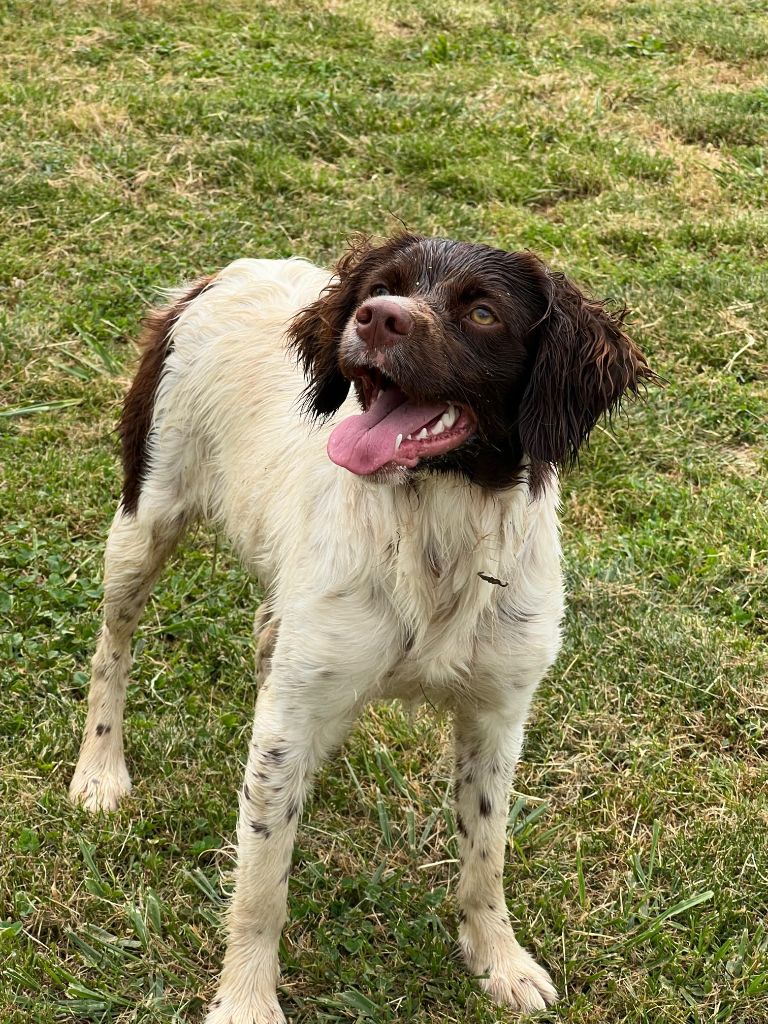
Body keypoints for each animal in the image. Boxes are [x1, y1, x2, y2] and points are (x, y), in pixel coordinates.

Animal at [69, 234, 655, 1024]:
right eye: (382, 287)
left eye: (483, 312)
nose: (378, 318)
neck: (435, 526)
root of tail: (223, 273)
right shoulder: (292, 715)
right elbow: (262, 883)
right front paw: (247, 999)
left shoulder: (498, 711)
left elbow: (486, 854)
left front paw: (499, 960)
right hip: (145, 521)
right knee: (113, 649)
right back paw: (100, 770)